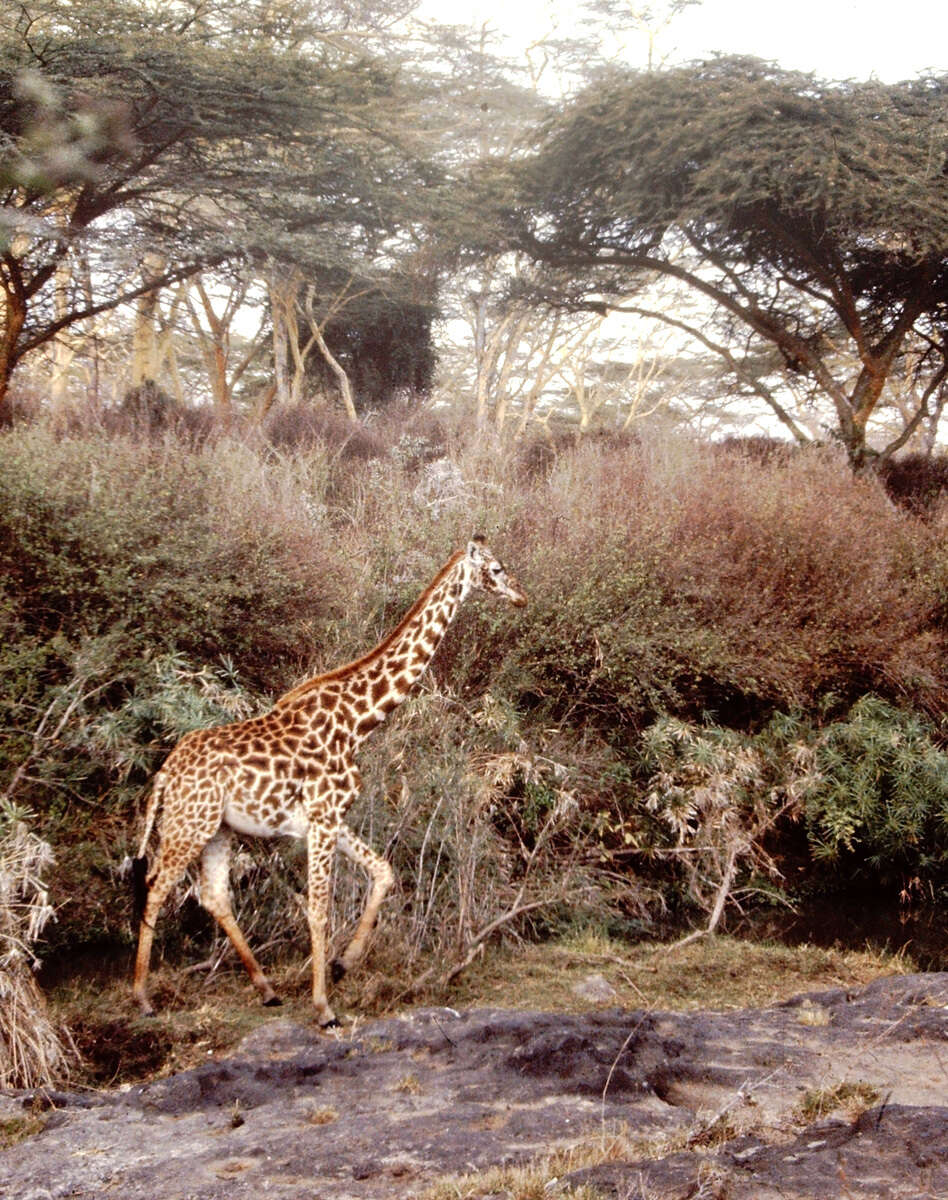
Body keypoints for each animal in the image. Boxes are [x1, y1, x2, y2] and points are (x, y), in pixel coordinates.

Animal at [130, 540, 528, 1027]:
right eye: (497, 569)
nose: (521, 597)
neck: (357, 723)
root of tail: (166, 771)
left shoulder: (331, 818)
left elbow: (383, 872)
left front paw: (344, 963)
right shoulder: (322, 819)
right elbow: (319, 909)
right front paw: (323, 1007)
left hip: (218, 829)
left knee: (214, 896)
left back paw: (266, 989)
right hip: (190, 825)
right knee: (156, 886)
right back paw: (142, 997)